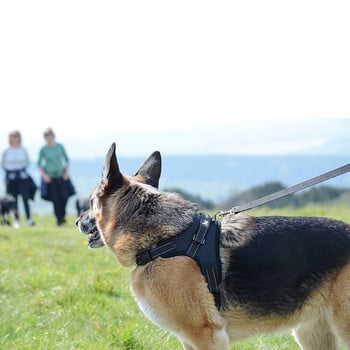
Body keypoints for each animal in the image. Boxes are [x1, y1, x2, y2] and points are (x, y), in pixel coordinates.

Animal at [76, 144, 350, 348]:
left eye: (90, 202)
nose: (77, 221)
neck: (163, 241)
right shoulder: (189, 339)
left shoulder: (205, 335)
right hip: (311, 333)